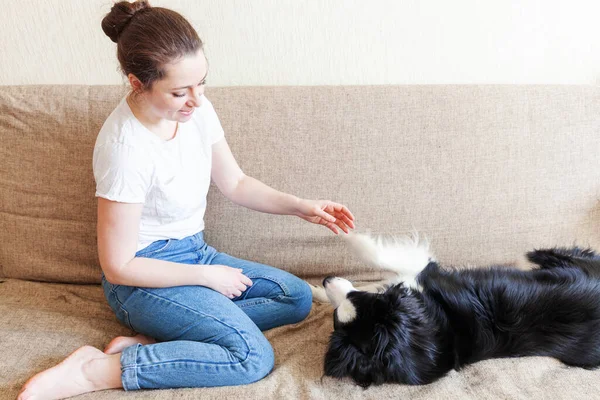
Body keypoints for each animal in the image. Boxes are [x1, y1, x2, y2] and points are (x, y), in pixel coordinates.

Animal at [312, 234, 600, 388]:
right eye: (336, 319)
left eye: (357, 297)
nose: (326, 278)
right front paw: (315, 291)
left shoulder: (420, 273)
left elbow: (377, 257)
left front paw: (344, 232)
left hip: (564, 259)